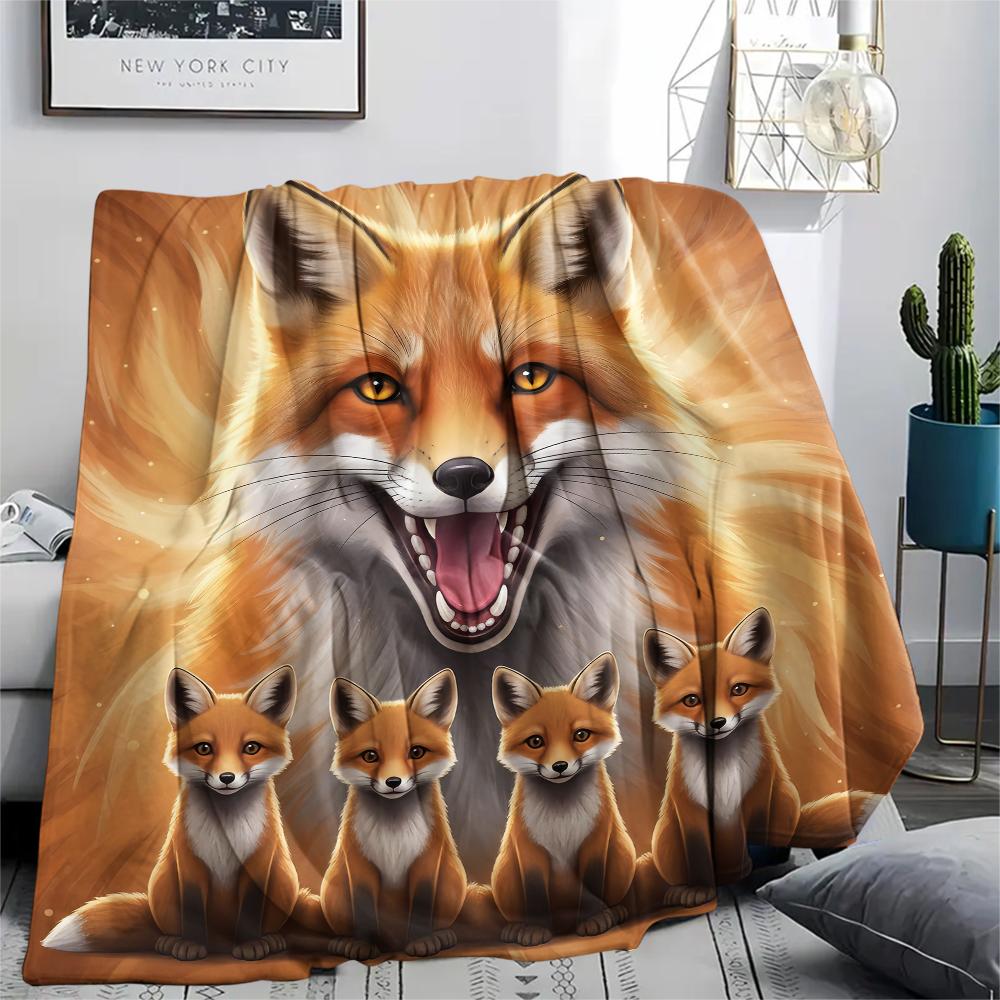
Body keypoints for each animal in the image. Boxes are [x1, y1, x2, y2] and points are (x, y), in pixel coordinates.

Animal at [41, 665, 301, 961]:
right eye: (204, 748)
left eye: (251, 748)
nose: (226, 778)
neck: (226, 828)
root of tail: (221, 941)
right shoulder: (188, 863)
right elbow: (193, 911)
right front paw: (191, 945)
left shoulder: (258, 863)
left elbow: (249, 912)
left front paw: (249, 944)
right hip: (162, 883)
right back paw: (172, 942)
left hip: (284, 881)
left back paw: (269, 940)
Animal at [320, 669, 468, 959]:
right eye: (370, 756)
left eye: (416, 752)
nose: (393, 782)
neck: (393, 831)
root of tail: (394, 941)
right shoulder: (359, 863)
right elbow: (364, 910)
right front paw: (363, 944)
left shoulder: (427, 861)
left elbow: (421, 907)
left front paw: (422, 940)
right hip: (333, 889)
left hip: (452, 881)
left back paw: (441, 936)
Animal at [490, 653, 636, 947]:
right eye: (536, 741)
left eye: (581, 735)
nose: (560, 766)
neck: (562, 816)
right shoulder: (530, 850)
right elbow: (535, 896)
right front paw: (534, 928)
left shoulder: (595, 842)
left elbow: (592, 888)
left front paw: (596, 918)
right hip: (504, 874)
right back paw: (517, 928)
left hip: (622, 855)